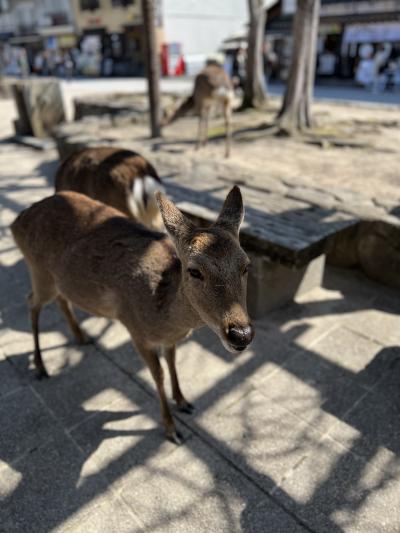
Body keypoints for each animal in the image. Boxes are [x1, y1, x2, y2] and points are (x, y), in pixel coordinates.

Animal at [13, 186, 256, 440]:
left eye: (246, 265)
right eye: (194, 271)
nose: (241, 334)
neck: (163, 315)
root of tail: (17, 221)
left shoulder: (169, 339)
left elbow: (172, 362)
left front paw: (183, 401)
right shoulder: (135, 329)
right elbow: (158, 374)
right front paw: (171, 429)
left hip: (57, 280)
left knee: (60, 299)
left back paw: (81, 337)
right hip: (39, 272)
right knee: (31, 302)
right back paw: (40, 366)